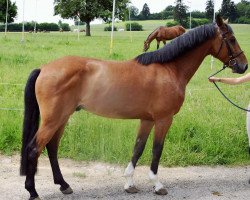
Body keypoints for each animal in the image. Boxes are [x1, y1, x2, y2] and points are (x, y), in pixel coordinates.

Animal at [20, 14, 247, 199]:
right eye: (232, 39)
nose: (243, 65)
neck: (169, 69)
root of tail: (44, 68)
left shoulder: (147, 119)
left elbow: (138, 148)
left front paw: (129, 184)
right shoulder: (164, 119)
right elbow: (157, 149)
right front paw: (157, 185)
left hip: (63, 117)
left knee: (51, 147)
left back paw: (64, 185)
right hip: (53, 119)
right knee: (34, 149)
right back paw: (32, 191)